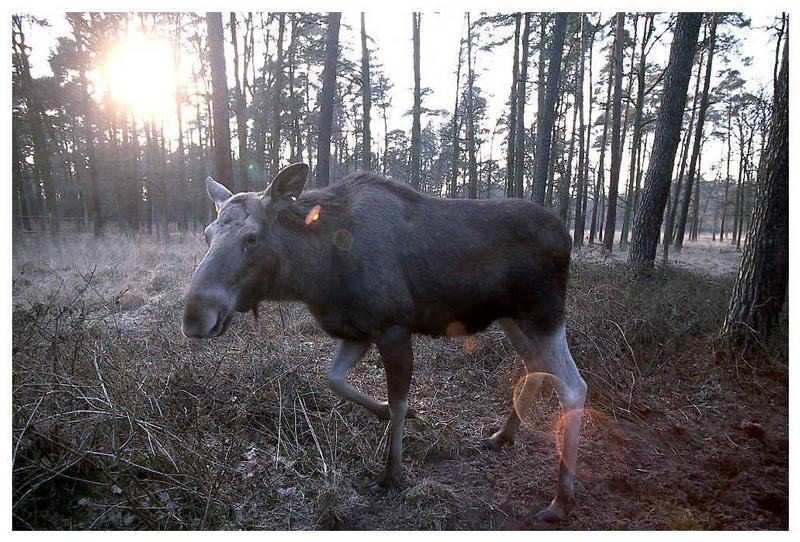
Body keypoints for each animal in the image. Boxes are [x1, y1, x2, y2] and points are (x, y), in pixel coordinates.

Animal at [184, 165, 592, 524]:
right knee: (533, 365)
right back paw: (502, 436)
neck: (315, 274)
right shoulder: (357, 330)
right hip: (511, 317)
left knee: (573, 385)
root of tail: (569, 236)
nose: (194, 317)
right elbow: (335, 379)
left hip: (544, 312)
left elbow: (399, 400)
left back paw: (561, 498)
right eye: (206, 234)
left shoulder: (393, 326)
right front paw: (381, 412)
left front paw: (392, 472)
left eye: (251, 237)